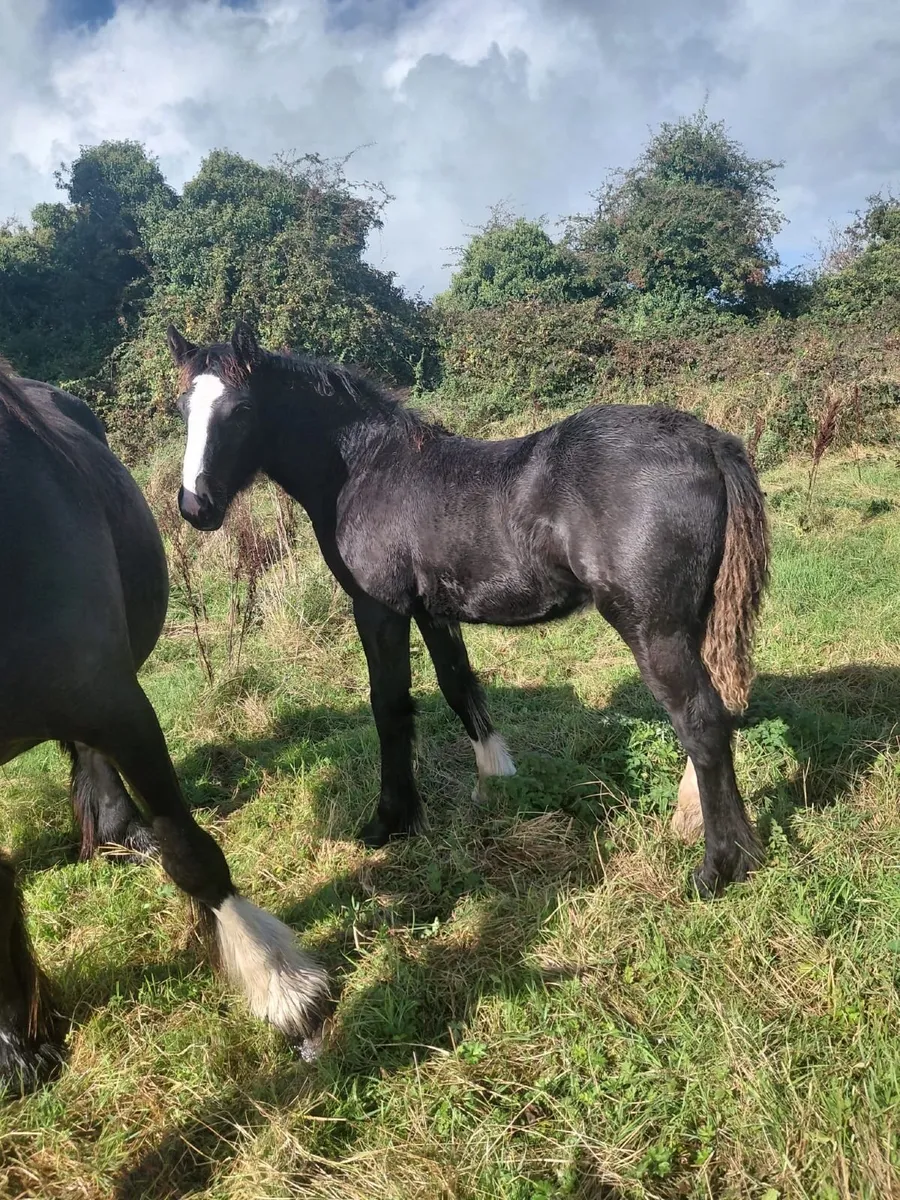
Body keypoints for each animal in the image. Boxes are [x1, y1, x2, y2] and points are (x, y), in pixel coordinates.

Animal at [167, 322, 769, 898]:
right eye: (182, 408)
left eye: (242, 409)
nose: (196, 507)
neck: (365, 470)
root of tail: (708, 440)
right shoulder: (434, 611)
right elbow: (459, 687)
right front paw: (495, 781)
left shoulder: (379, 609)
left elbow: (389, 707)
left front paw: (391, 820)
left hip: (653, 628)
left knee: (701, 722)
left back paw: (719, 868)